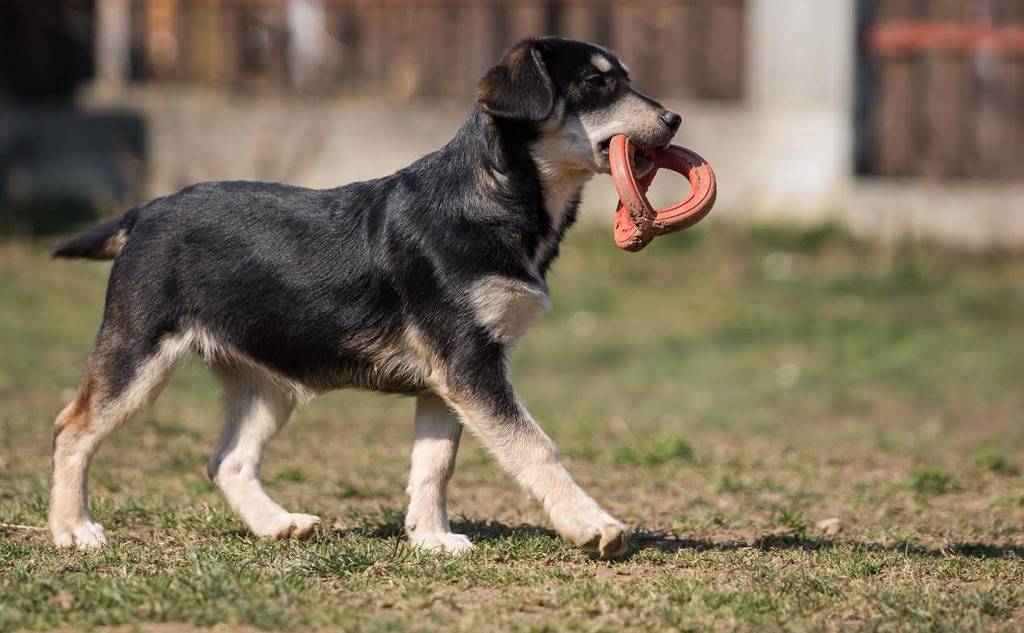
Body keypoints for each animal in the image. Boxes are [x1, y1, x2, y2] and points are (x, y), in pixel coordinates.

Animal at [51, 36, 684, 553]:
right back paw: (73, 530)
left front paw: (431, 539)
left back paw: (277, 524)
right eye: (598, 84)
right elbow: (534, 445)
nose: (674, 118)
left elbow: (434, 463)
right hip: (137, 356)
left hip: (265, 381)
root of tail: (146, 211)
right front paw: (592, 524)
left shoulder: (448, 380)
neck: (494, 196)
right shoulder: (469, 364)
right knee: (72, 430)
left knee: (227, 461)